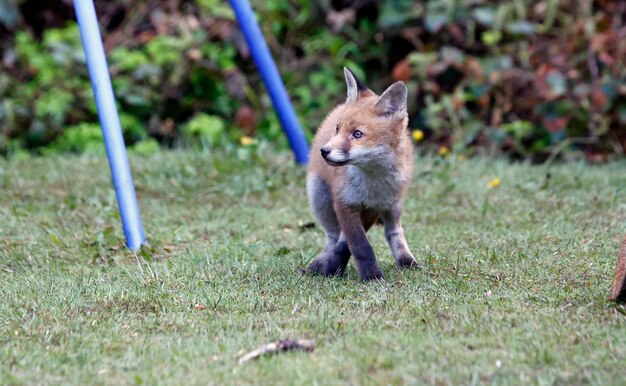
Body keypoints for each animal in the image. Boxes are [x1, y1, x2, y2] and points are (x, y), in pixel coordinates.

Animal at [304, 68, 416, 282]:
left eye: (357, 134)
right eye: (338, 129)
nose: (324, 151)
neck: (374, 183)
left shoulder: (380, 206)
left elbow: (360, 241)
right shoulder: (345, 203)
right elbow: (359, 245)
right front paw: (371, 275)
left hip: (394, 207)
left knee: (394, 231)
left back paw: (407, 261)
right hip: (319, 197)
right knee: (333, 236)